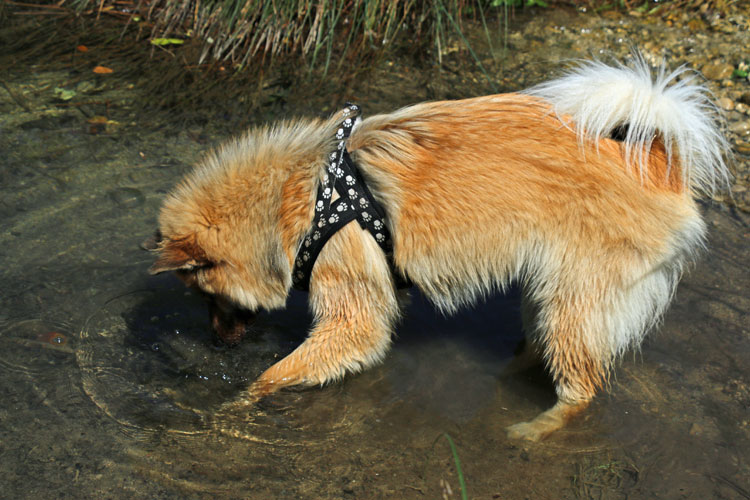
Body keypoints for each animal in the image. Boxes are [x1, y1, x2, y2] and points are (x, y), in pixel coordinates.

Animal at [144, 56, 732, 442]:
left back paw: (533, 430)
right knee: (537, 345)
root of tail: (658, 159)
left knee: (581, 391)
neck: (304, 196)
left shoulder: (352, 310)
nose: (217, 344)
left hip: (574, 301)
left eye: (205, 293)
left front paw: (232, 405)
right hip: (544, 287)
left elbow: (273, 375)